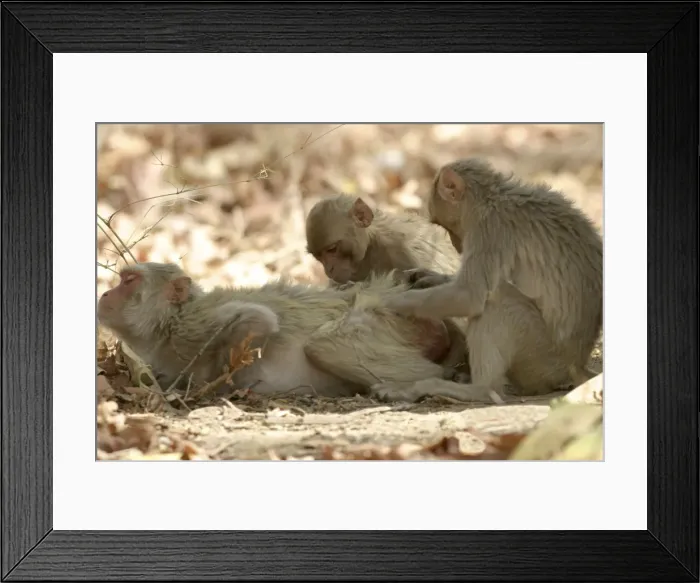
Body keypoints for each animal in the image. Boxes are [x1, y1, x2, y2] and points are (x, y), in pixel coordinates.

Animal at [97, 262, 459, 400]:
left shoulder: (193, 326)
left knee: (324, 343)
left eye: (128, 281)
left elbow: (260, 319)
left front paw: (214, 383)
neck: (166, 326)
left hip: (384, 319)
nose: (104, 294)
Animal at [376, 158, 603, 403]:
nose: (457, 246)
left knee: (498, 299)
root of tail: (576, 365)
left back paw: (476, 389)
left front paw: (388, 301)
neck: (491, 198)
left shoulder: (490, 230)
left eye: (445, 226)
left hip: (543, 358)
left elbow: (469, 297)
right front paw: (428, 278)